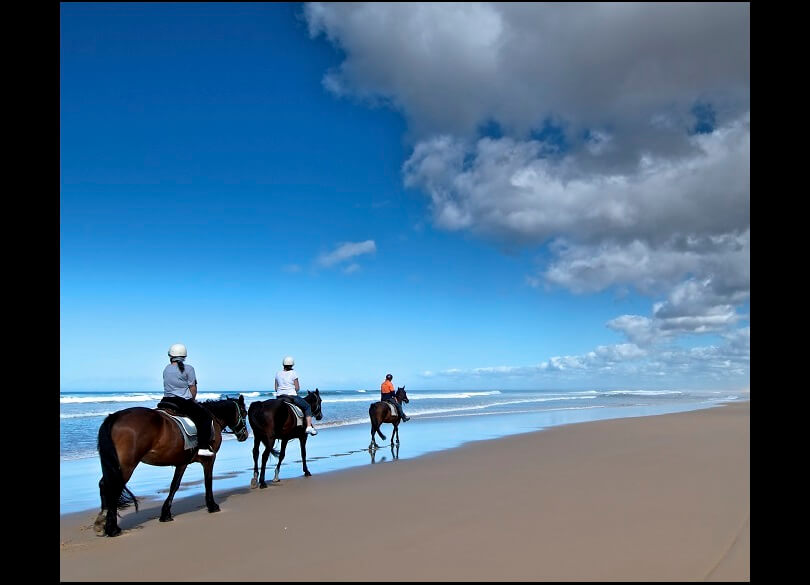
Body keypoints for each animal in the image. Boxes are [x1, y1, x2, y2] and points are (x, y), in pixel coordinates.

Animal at [93, 394, 248, 536]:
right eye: (244, 412)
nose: (245, 435)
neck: (213, 418)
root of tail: (116, 416)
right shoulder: (209, 459)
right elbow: (208, 481)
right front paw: (212, 506)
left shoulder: (182, 462)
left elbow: (174, 485)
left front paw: (165, 514)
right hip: (127, 466)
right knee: (113, 488)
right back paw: (113, 528)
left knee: (104, 484)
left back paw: (102, 522)